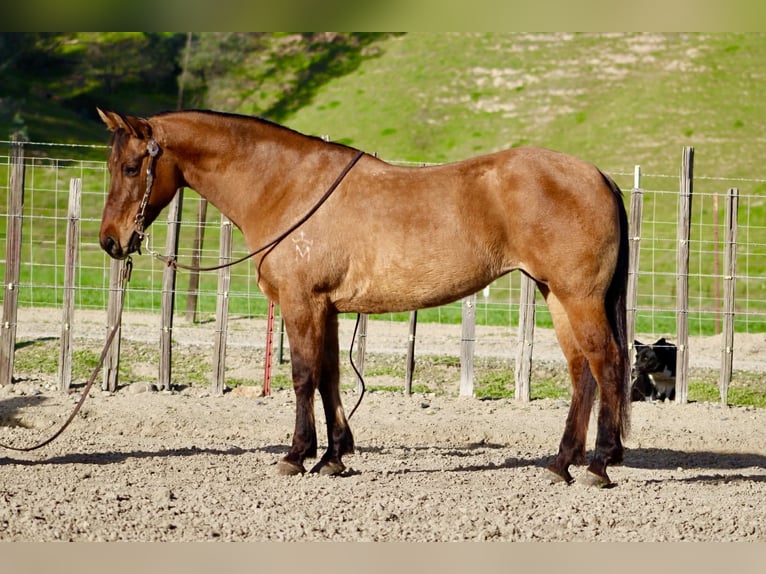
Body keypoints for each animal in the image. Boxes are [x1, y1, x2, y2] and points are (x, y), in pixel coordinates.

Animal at [96, 107, 631, 486]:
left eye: (131, 167)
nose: (111, 242)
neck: (286, 184)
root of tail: (598, 176)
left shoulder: (302, 303)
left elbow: (304, 377)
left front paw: (296, 455)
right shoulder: (327, 308)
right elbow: (330, 377)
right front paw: (334, 456)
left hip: (578, 297)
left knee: (606, 363)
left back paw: (598, 466)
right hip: (556, 296)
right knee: (582, 372)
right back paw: (561, 463)